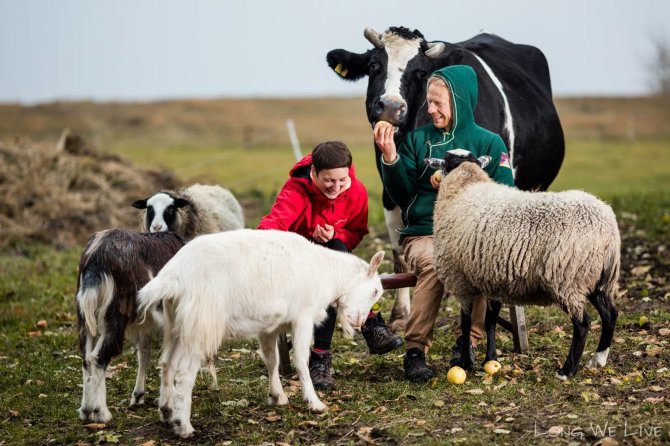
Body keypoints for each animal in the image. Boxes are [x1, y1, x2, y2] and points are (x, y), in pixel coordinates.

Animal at [136, 228, 386, 438]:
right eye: (375, 291)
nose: (359, 321)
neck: (327, 273)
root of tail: (173, 275)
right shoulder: (303, 317)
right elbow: (301, 360)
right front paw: (314, 402)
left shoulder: (270, 326)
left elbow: (271, 360)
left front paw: (277, 396)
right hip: (201, 323)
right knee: (184, 372)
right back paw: (183, 425)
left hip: (178, 323)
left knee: (167, 363)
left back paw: (166, 411)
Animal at [330, 26, 568, 330]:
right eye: (373, 65)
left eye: (420, 72)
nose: (390, 107)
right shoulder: (390, 193)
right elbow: (399, 255)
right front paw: (400, 315)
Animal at [434, 151, 624, 380]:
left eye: (446, 161)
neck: (465, 186)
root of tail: (608, 230)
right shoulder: (492, 279)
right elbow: (490, 321)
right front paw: (490, 360)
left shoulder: (461, 281)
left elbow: (465, 322)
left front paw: (465, 362)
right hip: (594, 276)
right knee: (610, 315)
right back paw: (598, 359)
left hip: (566, 278)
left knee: (582, 324)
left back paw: (567, 370)